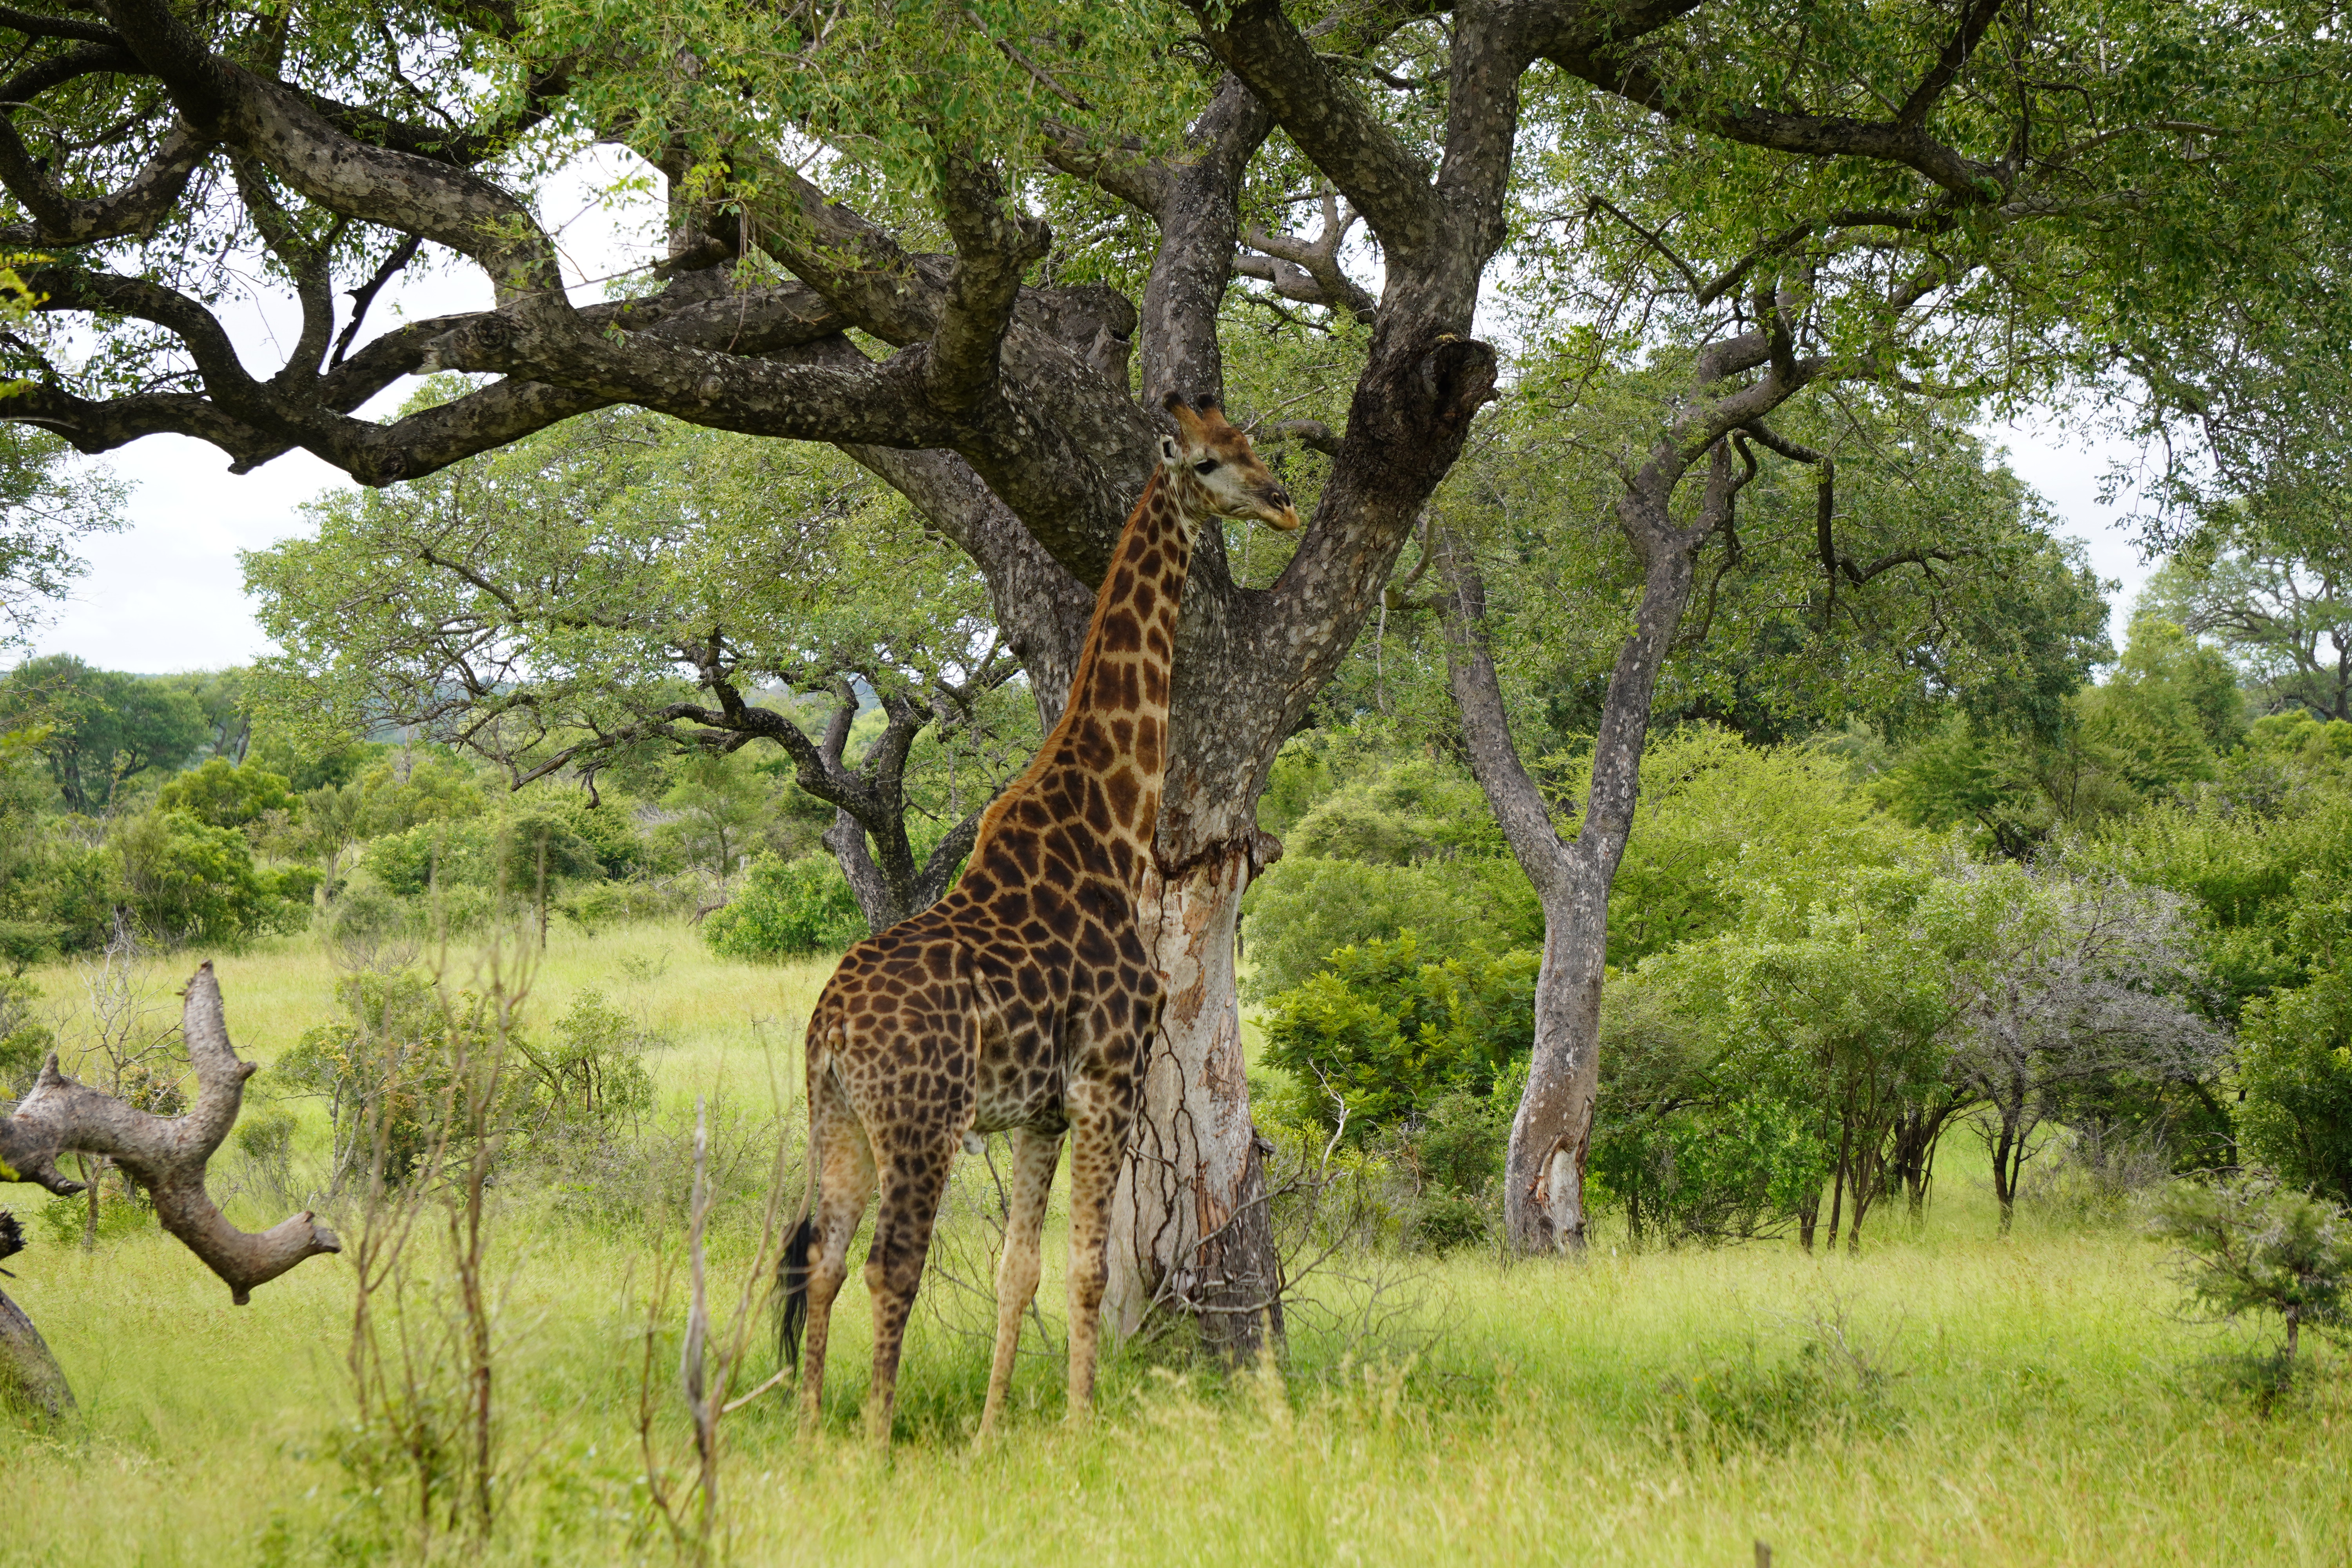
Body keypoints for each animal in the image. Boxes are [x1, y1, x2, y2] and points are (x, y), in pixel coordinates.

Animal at [778, 393, 1300, 1440]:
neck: (1110, 824)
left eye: (1251, 446)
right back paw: (874, 1442)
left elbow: (1019, 1270)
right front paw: (1079, 1426)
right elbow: (1088, 1267)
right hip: (924, 1120)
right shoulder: (1108, 1080)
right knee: (892, 1263)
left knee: (825, 1259)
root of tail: (831, 1027)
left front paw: (989, 1434)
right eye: (1210, 463)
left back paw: (812, 1436)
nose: (1283, 502)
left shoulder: (1040, 1112)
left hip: (838, 1117)